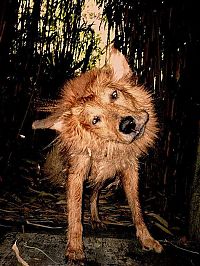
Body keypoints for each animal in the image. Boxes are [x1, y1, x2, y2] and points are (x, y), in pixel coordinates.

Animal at [32, 46, 162, 262]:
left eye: (114, 94)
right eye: (95, 120)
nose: (128, 124)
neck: (108, 146)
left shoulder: (129, 170)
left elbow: (137, 209)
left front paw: (147, 239)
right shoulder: (77, 174)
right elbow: (75, 214)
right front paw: (75, 248)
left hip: (106, 176)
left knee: (94, 193)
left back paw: (95, 217)